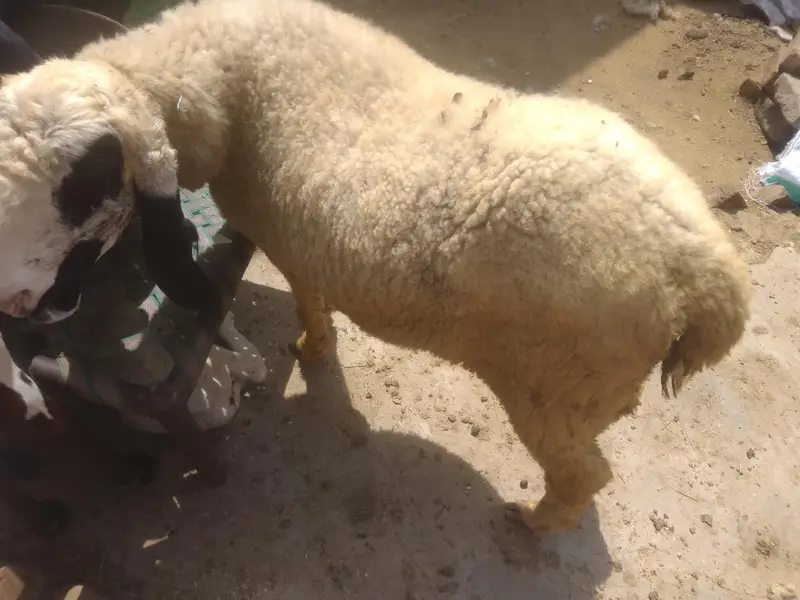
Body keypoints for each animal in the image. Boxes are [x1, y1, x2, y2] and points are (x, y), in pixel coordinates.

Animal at [0, 0, 752, 537]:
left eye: (84, 191)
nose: (26, 310)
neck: (210, 68)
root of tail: (709, 279)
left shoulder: (285, 237)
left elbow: (308, 297)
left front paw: (313, 345)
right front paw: (317, 344)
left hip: (557, 391)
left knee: (585, 476)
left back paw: (537, 523)